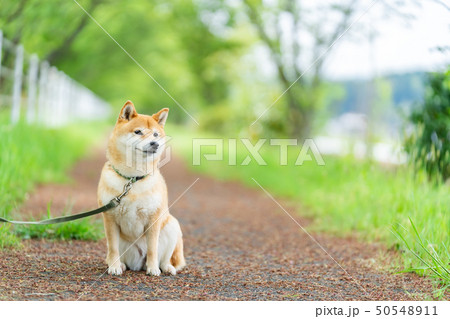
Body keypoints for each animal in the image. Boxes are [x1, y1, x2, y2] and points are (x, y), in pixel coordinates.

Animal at [96, 101, 185, 276]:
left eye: (156, 135)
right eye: (138, 132)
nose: (154, 144)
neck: (133, 178)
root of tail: (137, 263)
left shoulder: (154, 219)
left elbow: (152, 249)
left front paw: (153, 269)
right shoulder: (110, 218)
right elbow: (113, 248)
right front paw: (114, 267)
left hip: (172, 226)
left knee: (165, 258)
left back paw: (165, 267)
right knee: (114, 253)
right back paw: (120, 264)